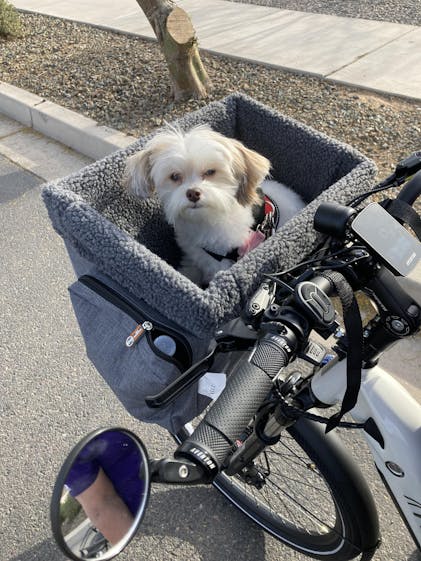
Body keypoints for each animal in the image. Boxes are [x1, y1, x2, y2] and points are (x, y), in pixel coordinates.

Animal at [123, 127, 304, 284]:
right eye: (174, 176)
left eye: (210, 172)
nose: (193, 193)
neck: (207, 221)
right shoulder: (194, 257)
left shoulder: (224, 263)